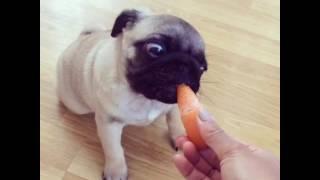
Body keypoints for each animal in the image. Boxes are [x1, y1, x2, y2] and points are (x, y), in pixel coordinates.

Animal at [57, 8, 208, 180]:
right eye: (155, 49)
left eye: (202, 67)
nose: (184, 65)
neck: (145, 98)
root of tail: (81, 38)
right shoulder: (110, 124)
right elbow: (114, 150)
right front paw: (116, 171)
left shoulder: (176, 103)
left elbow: (175, 122)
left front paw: (181, 138)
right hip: (77, 105)